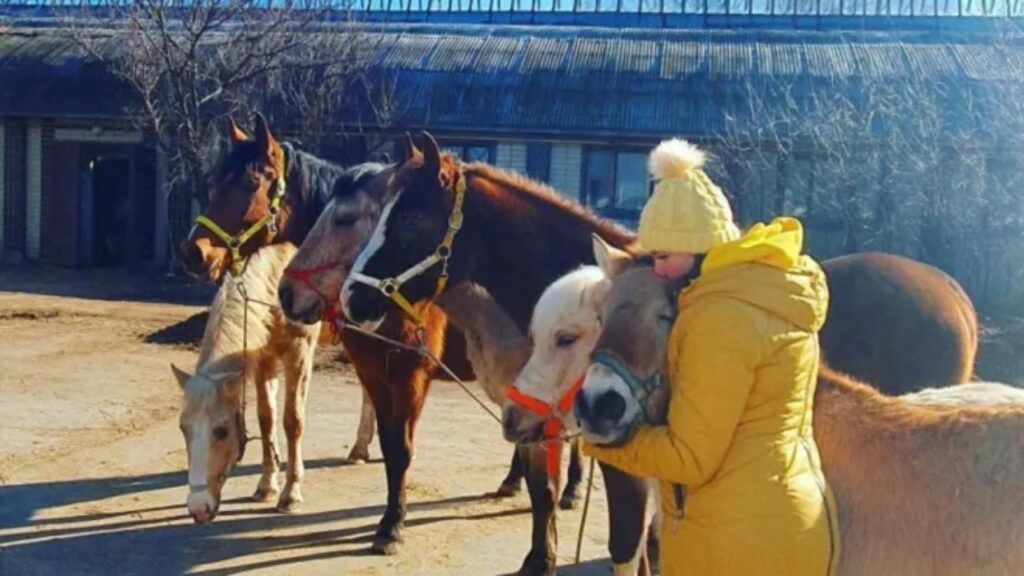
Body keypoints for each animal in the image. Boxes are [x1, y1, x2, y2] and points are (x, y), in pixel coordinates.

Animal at [172, 241, 317, 520]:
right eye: (183, 428)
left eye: (221, 430)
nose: (198, 508)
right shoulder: (263, 358)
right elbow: (266, 419)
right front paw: (267, 486)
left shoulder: (299, 350)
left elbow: (292, 421)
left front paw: (291, 494)